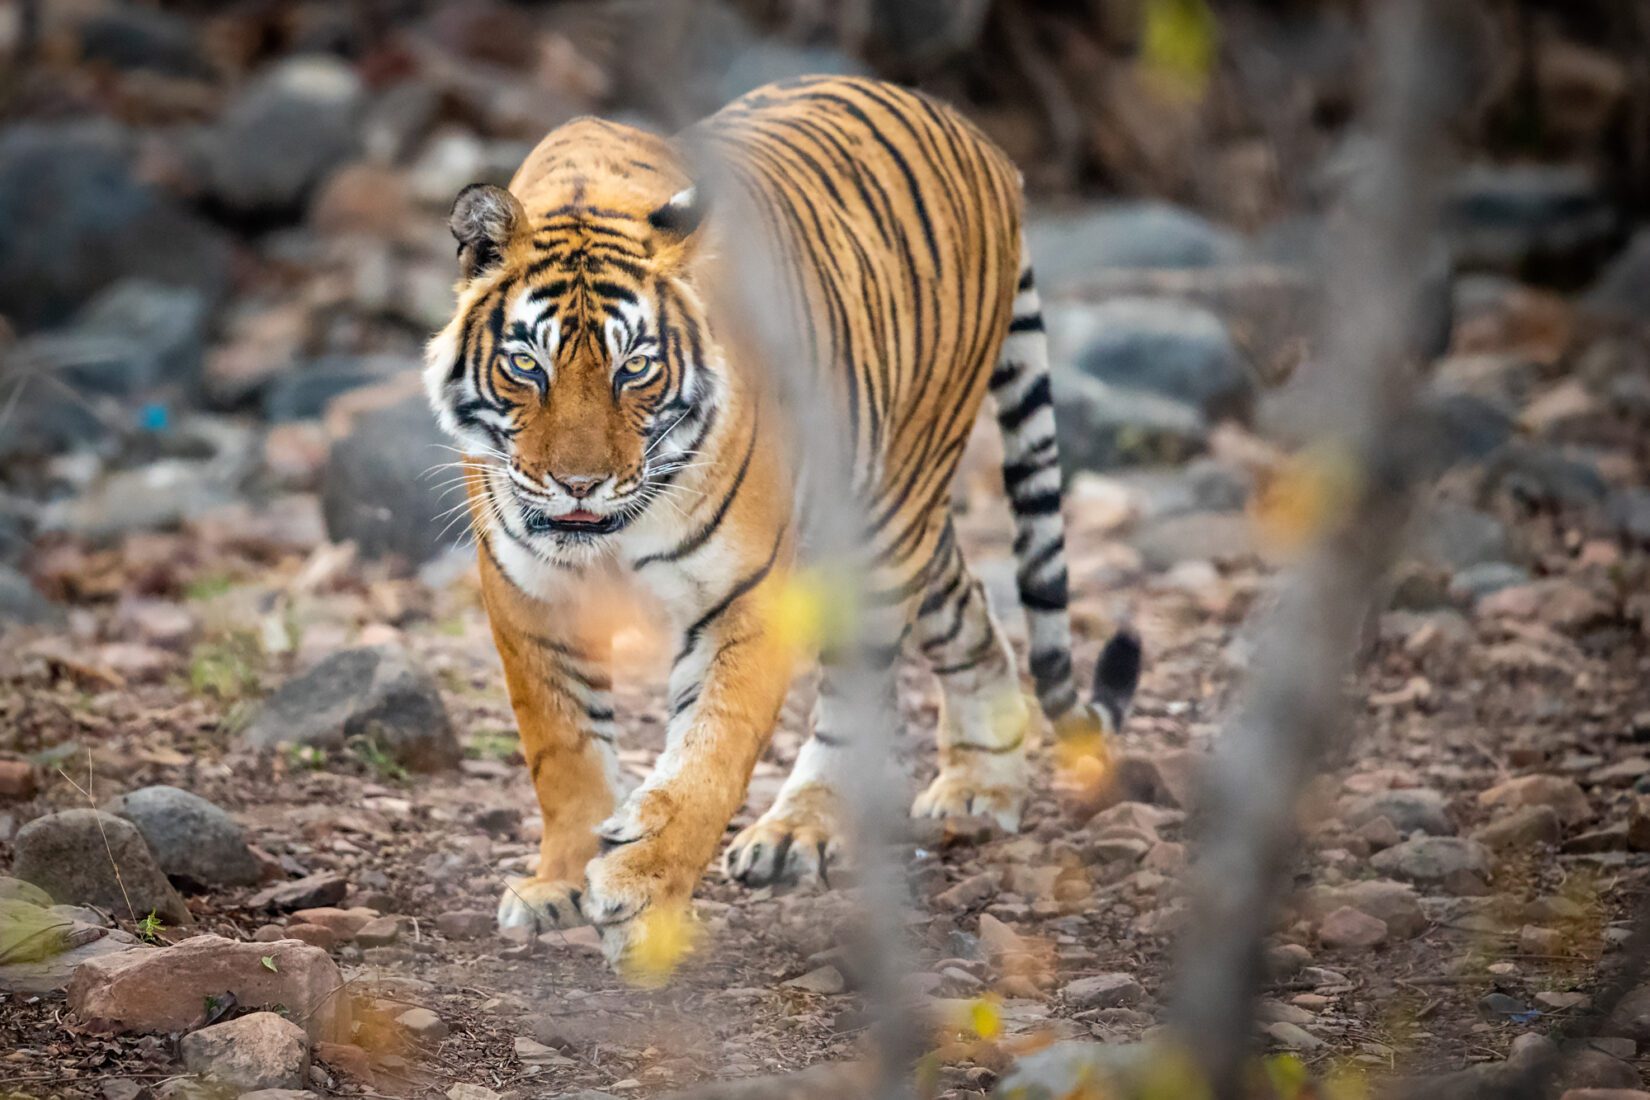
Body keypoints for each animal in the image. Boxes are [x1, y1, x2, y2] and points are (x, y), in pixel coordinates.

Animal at [425, 72, 1141, 969]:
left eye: (636, 368)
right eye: (527, 364)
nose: (578, 484)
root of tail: (981, 140)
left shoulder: (748, 594)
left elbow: (711, 754)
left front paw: (641, 888)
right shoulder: (529, 599)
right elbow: (565, 753)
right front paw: (558, 882)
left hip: (885, 514)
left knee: (856, 694)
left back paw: (800, 832)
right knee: (971, 612)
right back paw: (981, 784)